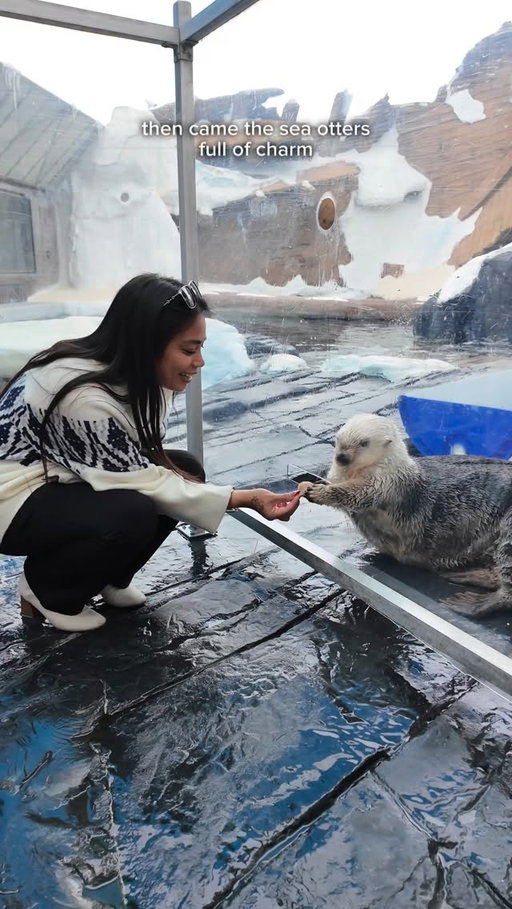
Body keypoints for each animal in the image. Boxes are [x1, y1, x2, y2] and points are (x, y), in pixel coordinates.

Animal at [303, 413, 512, 617]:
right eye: (338, 440)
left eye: (364, 443)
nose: (342, 457)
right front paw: (309, 486)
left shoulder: (386, 482)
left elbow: (357, 494)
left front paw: (319, 492)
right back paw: (465, 575)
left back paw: (473, 602)